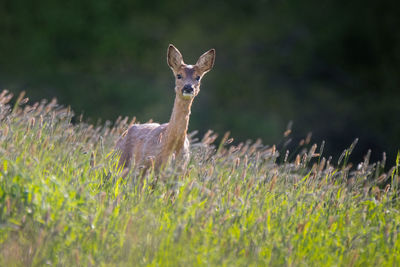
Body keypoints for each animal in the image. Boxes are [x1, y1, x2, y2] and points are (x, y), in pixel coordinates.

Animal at [115, 44, 216, 174]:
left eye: (198, 77)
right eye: (179, 75)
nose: (188, 87)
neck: (172, 146)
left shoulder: (180, 170)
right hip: (122, 162)